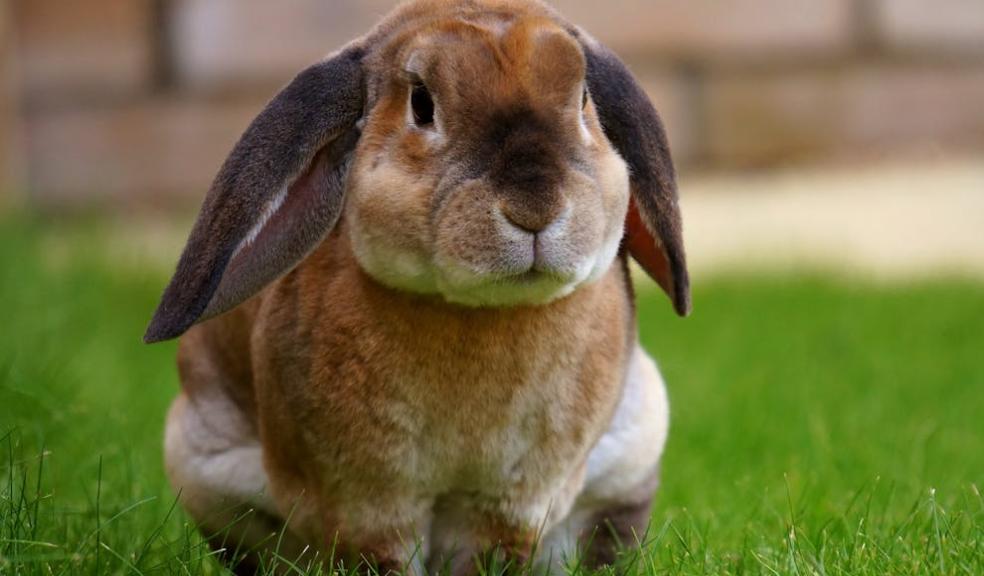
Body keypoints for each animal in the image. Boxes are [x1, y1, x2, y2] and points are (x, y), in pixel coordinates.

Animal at [145, 0, 690, 573]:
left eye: (583, 99)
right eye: (422, 105)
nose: (535, 207)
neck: (476, 312)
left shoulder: (511, 503)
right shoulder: (367, 502)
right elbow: (382, 555)